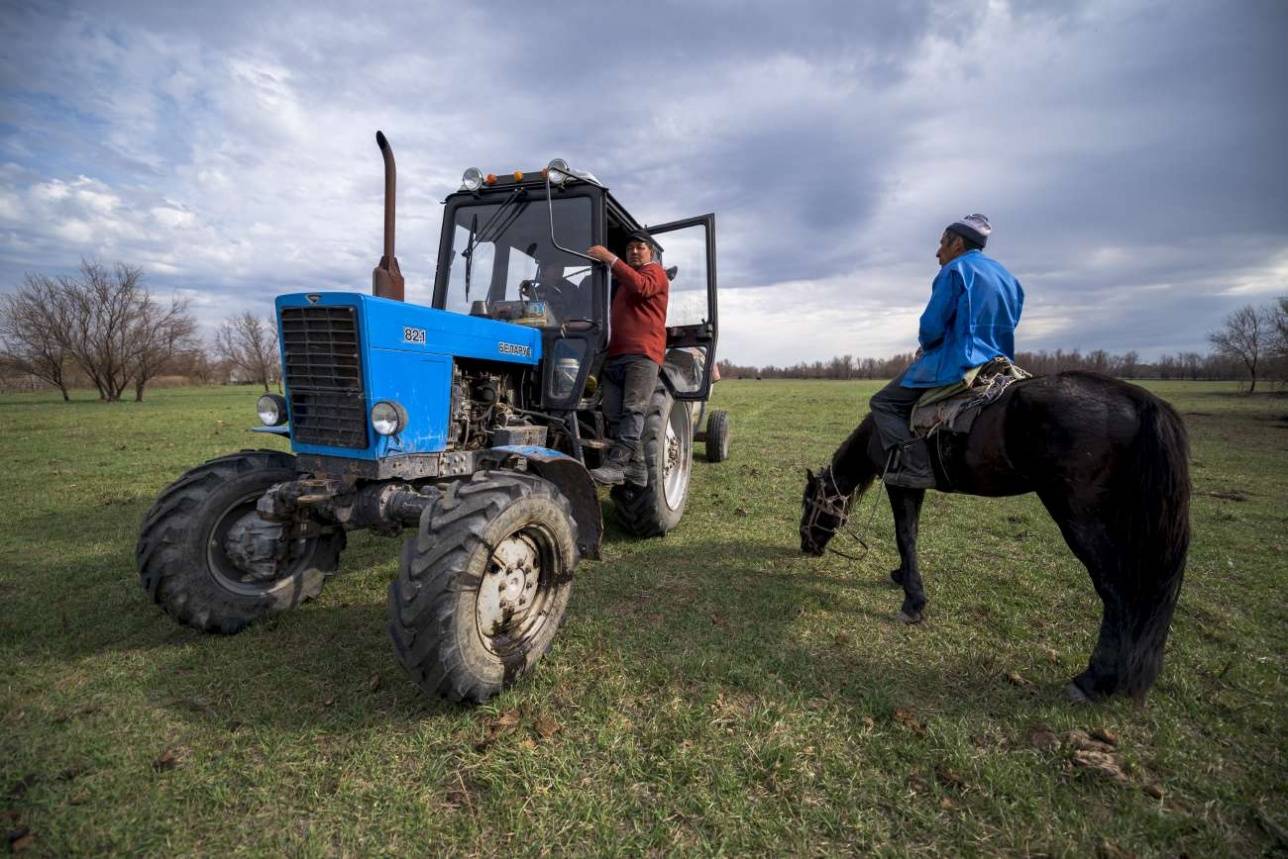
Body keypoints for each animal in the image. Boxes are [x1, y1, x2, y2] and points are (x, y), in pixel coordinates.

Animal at [798, 373, 1190, 700]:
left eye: (808, 503)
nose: (805, 545)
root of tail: (1137, 398)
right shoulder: (913, 486)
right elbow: (911, 534)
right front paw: (901, 578)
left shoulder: (901, 484)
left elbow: (905, 535)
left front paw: (913, 602)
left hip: (1081, 518)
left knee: (1117, 591)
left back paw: (1093, 681)